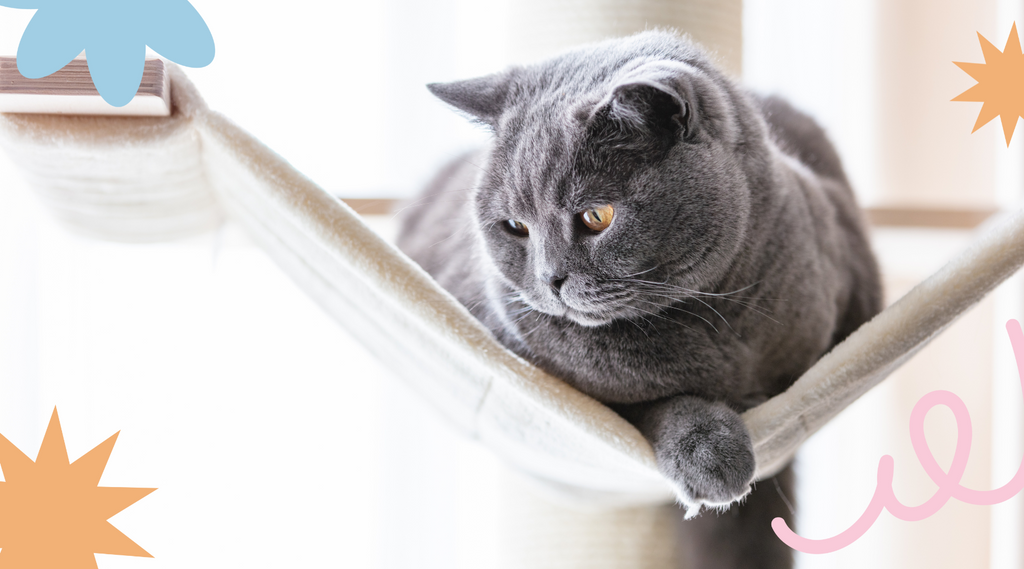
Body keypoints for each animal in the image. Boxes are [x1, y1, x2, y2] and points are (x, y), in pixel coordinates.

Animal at [395, 31, 884, 569]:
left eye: (597, 216)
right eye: (516, 226)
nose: (549, 278)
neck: (718, 323)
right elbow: (654, 404)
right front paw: (712, 453)